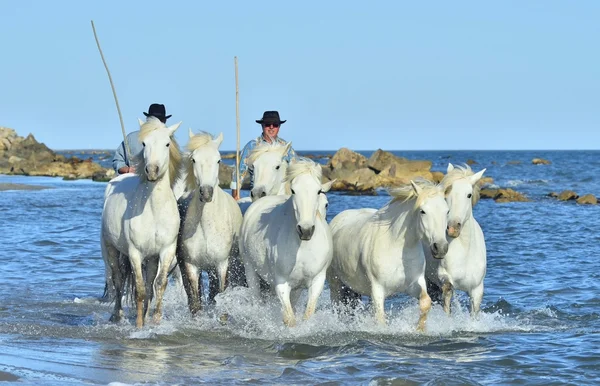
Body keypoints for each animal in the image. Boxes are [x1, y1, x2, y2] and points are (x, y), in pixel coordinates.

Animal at [101, 118, 182, 328]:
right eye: (144, 143)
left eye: (167, 144)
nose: (152, 171)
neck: (153, 211)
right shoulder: (135, 253)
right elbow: (139, 289)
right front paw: (139, 324)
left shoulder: (167, 251)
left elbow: (158, 285)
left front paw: (154, 320)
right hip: (111, 250)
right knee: (118, 280)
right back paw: (117, 315)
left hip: (152, 259)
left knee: (149, 283)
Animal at [176, 130, 244, 314]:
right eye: (193, 159)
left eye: (218, 160)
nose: (206, 192)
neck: (206, 225)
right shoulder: (191, 266)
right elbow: (195, 303)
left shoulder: (221, 265)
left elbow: (221, 297)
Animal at [238, 158, 332, 328]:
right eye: (293, 191)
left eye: (318, 191)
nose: (305, 230)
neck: (302, 247)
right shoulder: (281, 283)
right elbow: (289, 319)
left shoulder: (317, 281)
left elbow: (307, 315)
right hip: (250, 269)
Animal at [326, 179, 448, 330]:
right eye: (423, 211)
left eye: (447, 211)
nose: (441, 248)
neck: (394, 245)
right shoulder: (377, 290)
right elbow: (380, 319)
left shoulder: (415, 283)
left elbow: (426, 302)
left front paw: (419, 329)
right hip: (335, 284)